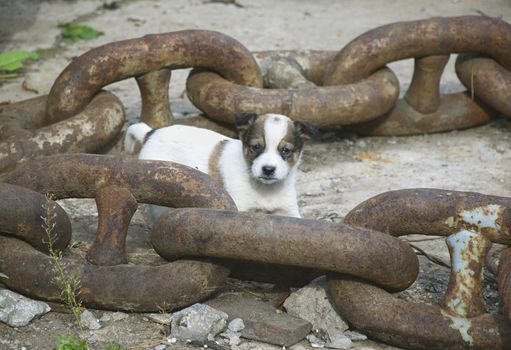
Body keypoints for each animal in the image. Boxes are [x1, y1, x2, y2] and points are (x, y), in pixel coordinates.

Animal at [125, 113, 316, 219]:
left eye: (285, 150)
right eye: (256, 147)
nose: (268, 169)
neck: (265, 189)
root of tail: (150, 133)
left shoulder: (288, 211)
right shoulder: (238, 207)